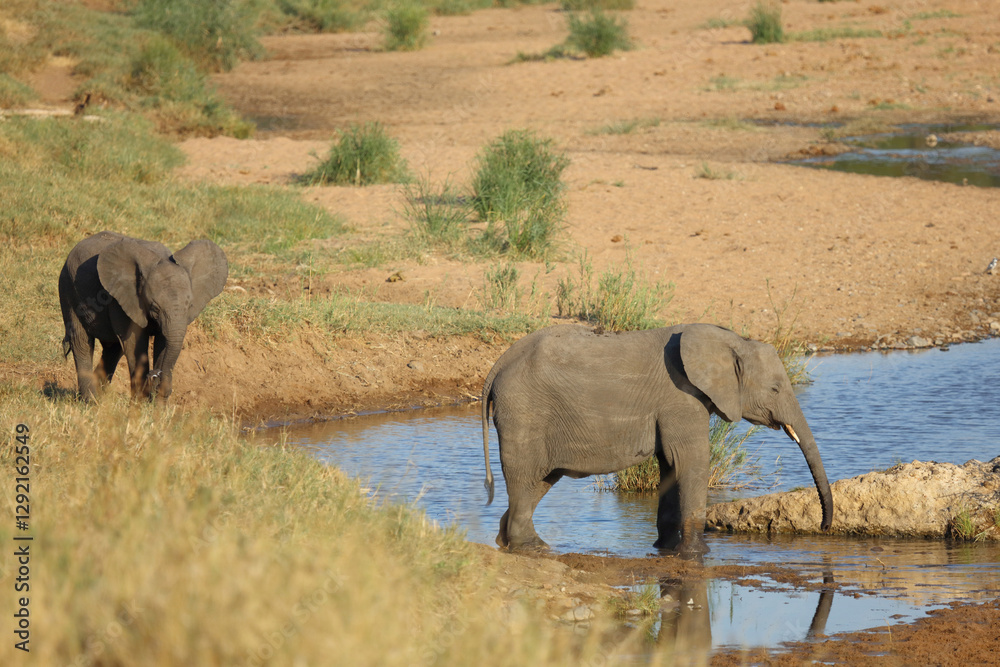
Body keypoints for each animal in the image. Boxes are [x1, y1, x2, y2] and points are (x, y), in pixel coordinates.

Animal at [59, 231, 228, 402]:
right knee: (81, 342)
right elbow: (134, 343)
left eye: (190, 306)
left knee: (113, 348)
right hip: (68, 290)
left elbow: (163, 342)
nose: (155, 374)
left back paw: (100, 399)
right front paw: (140, 403)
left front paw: (157, 405)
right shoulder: (121, 300)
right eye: (154, 307)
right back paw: (90, 401)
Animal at [480, 323, 833, 554]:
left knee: (537, 483)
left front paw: (665, 548)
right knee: (524, 477)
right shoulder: (681, 399)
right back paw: (532, 546)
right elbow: (692, 462)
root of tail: (497, 365)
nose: (824, 528)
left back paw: (510, 543)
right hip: (523, 414)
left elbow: (670, 466)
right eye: (775, 389)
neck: (731, 340)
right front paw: (697, 553)